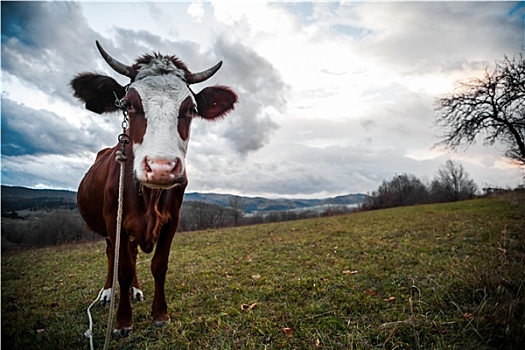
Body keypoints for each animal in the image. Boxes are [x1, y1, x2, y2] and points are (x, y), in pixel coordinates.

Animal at [71, 41, 237, 336]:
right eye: (128, 104)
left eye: (191, 109)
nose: (161, 168)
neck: (148, 195)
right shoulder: (115, 220)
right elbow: (122, 270)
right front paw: (122, 321)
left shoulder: (172, 220)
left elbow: (159, 265)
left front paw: (160, 314)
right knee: (112, 255)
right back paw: (107, 293)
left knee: (133, 254)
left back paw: (136, 291)